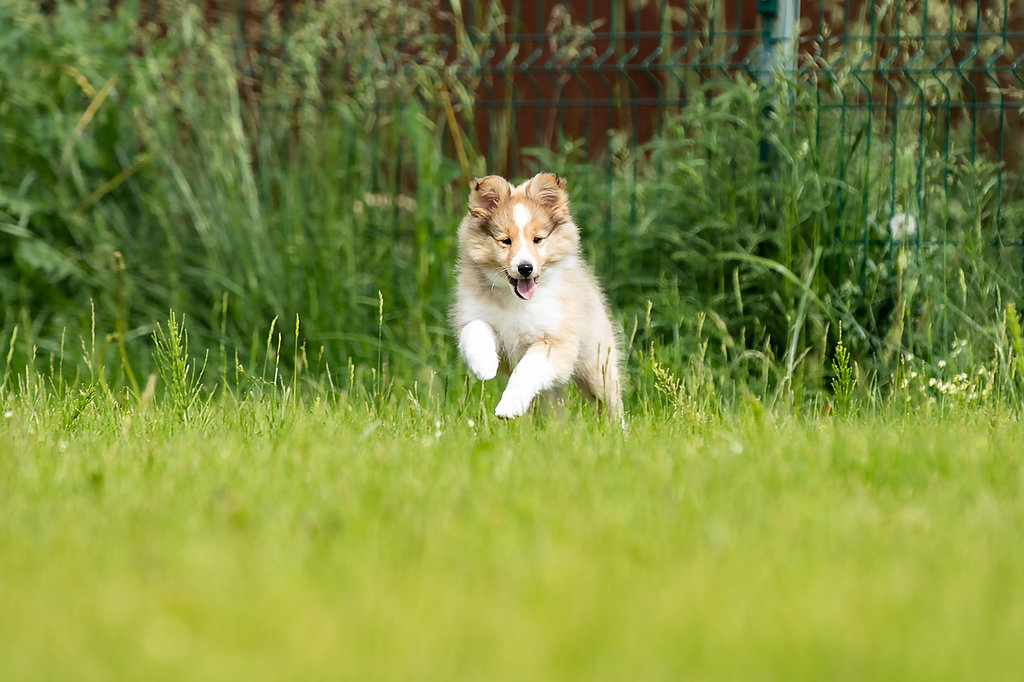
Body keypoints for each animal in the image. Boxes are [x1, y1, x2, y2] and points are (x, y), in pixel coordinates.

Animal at [450, 173, 622, 417]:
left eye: (537, 239)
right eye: (506, 241)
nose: (525, 268)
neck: (514, 300)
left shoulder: (555, 341)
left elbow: (526, 369)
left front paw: (508, 406)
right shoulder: (474, 315)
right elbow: (475, 329)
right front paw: (485, 365)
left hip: (597, 367)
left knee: (611, 403)